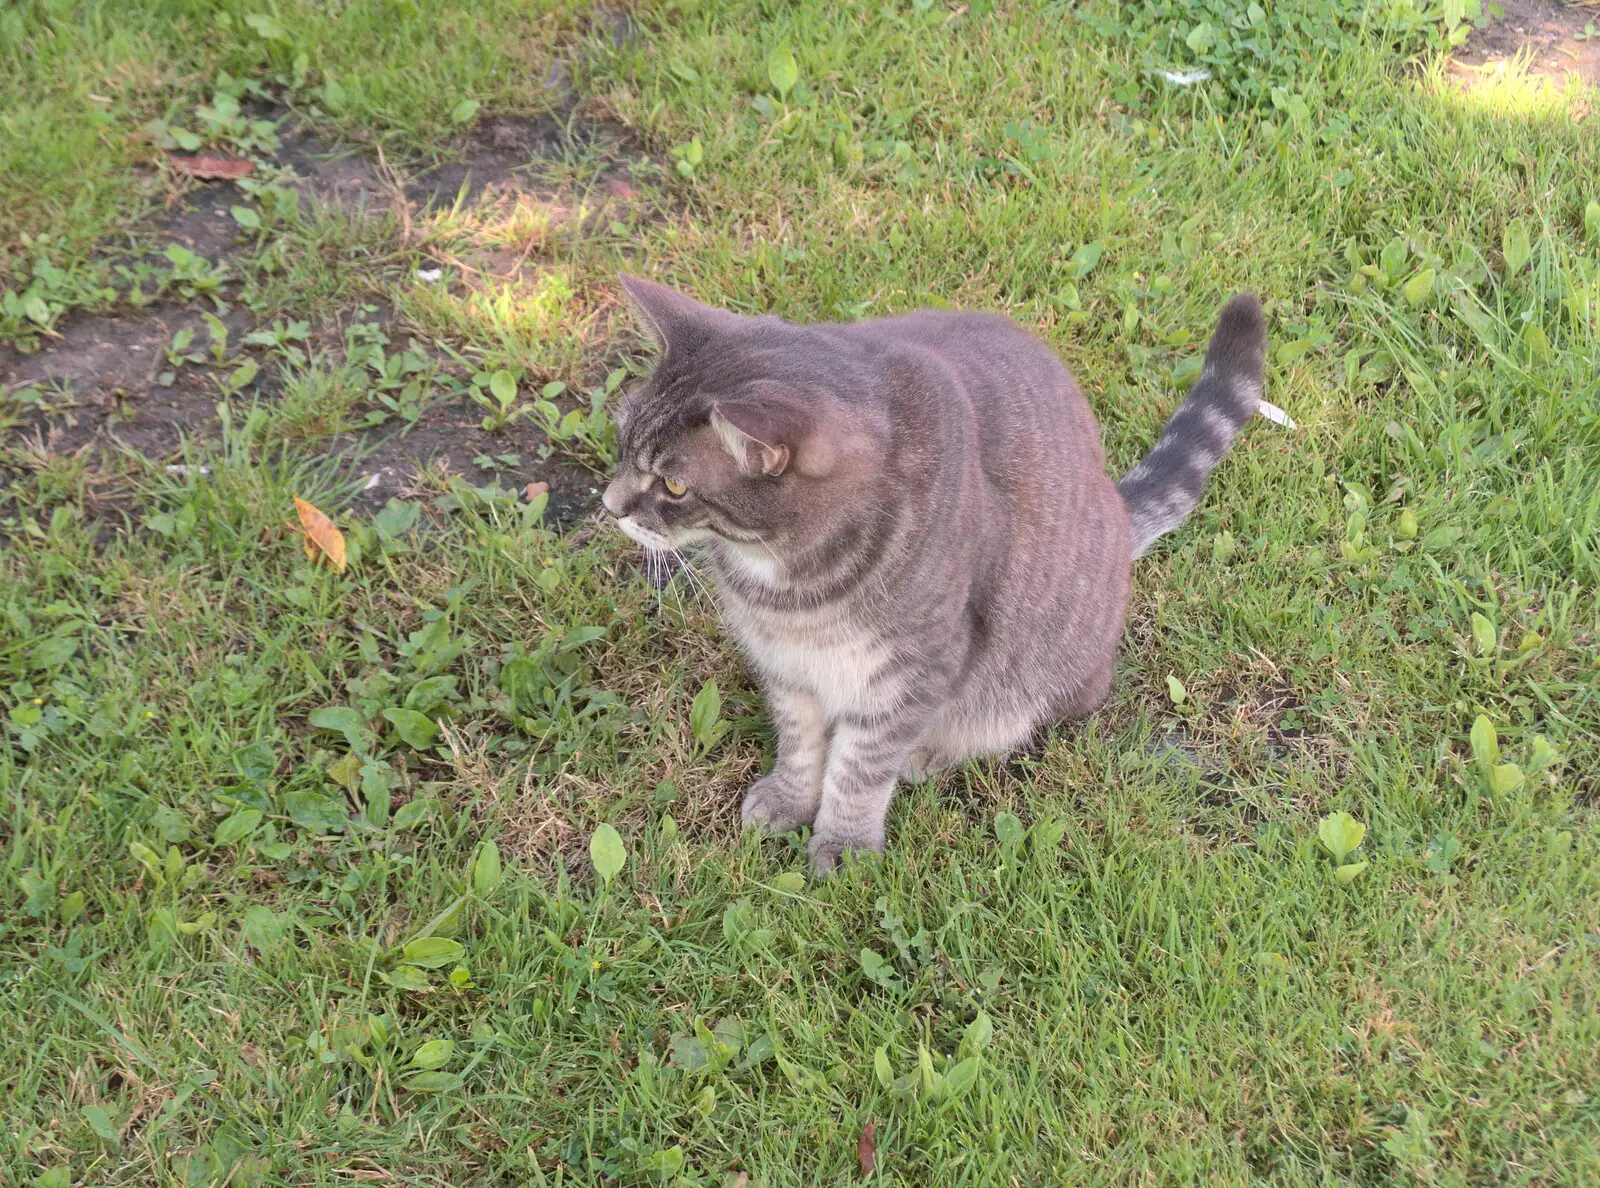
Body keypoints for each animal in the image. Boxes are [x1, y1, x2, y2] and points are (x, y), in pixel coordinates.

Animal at [604, 276, 1267, 877]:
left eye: (674, 486)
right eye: (622, 441)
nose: (608, 506)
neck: (783, 582)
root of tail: (1121, 516)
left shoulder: (910, 674)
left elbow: (859, 769)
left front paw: (843, 846)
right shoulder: (785, 665)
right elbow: (798, 740)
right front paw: (790, 799)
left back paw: (929, 753)